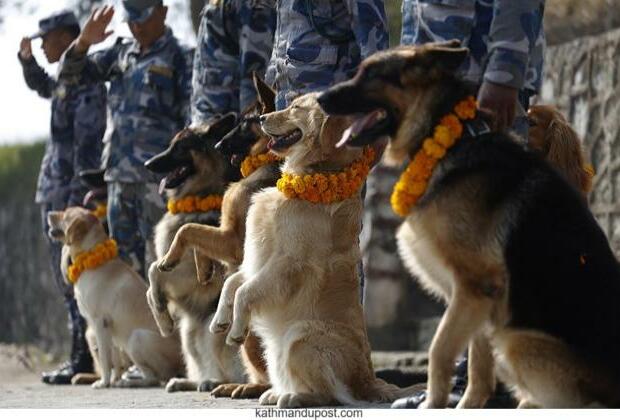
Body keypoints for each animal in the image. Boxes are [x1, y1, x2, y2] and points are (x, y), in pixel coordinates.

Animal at [47, 208, 183, 388]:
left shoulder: (99, 323)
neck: (91, 258)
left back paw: (130, 382)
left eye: (65, 213)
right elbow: (115, 360)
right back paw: (124, 381)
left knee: (157, 378)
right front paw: (112, 380)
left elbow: (105, 359)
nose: (48, 213)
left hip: (136, 339)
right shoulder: (109, 328)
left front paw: (103, 383)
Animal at [144, 114, 243, 390]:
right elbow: (149, 285)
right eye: (171, 143)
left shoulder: (194, 282)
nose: (147, 164)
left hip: (212, 330)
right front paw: (162, 318)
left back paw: (216, 383)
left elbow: (155, 269)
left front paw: (162, 313)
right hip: (189, 334)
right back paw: (186, 381)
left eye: (180, 147)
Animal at [155, 74, 278, 398]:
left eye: (246, 122)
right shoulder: (222, 234)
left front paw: (171, 259)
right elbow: (196, 238)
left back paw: (240, 387)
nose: (220, 143)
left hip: (247, 338)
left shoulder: (233, 242)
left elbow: (186, 230)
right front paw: (204, 267)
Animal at [209, 93, 422, 408]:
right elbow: (233, 283)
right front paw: (221, 319)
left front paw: (236, 331)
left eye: (296, 107)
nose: (262, 117)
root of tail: (369, 381)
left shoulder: (287, 263)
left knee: (330, 395)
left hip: (300, 337)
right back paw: (277, 392)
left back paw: (292, 397)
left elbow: (245, 291)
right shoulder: (256, 258)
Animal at [318, 40, 620, 406]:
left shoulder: (473, 286)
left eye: (372, 74)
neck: (454, 140)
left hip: (517, 341)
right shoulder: (478, 299)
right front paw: (464, 404)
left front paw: (433, 403)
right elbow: (476, 367)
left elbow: (439, 351)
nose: (319, 98)